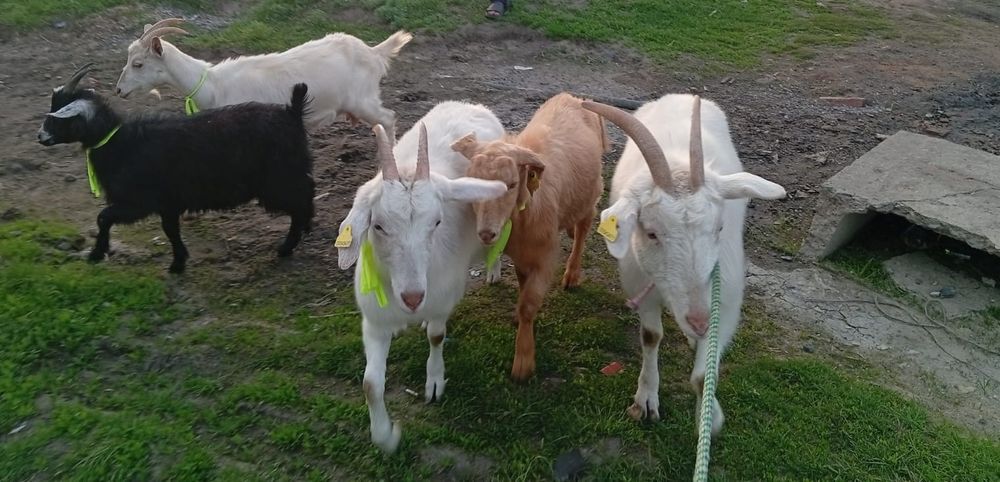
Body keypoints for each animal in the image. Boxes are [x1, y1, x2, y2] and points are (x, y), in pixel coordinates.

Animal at [37, 63, 315, 274]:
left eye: (58, 117)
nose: (40, 136)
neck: (119, 142)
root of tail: (292, 113)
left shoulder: (139, 202)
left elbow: (103, 217)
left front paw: (97, 253)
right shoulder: (167, 203)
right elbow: (170, 230)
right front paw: (178, 262)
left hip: (278, 180)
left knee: (300, 203)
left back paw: (287, 247)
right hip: (290, 173)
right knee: (307, 194)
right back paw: (305, 230)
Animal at [115, 18, 412, 140]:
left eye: (138, 64)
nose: (119, 90)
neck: (213, 84)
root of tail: (372, 53)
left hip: (362, 99)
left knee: (388, 118)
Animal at [336, 102, 508, 452]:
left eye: (437, 222)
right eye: (378, 225)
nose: (414, 297)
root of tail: (469, 104)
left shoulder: (442, 300)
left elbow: (437, 337)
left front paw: (434, 382)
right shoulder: (375, 321)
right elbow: (370, 384)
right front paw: (386, 436)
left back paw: (493, 270)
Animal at [451, 92, 607, 381]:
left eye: (512, 184)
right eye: (472, 182)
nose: (486, 233)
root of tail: (572, 97)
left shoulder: (545, 256)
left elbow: (529, 304)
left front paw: (523, 361)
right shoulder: (521, 255)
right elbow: (523, 288)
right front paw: (517, 317)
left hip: (591, 194)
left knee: (582, 230)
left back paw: (572, 273)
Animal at [581, 95, 786, 435]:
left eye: (719, 228)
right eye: (651, 233)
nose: (700, 321)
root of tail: (680, 97)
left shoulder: (726, 300)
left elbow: (704, 374)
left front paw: (709, 419)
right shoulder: (640, 285)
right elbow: (651, 336)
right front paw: (646, 399)